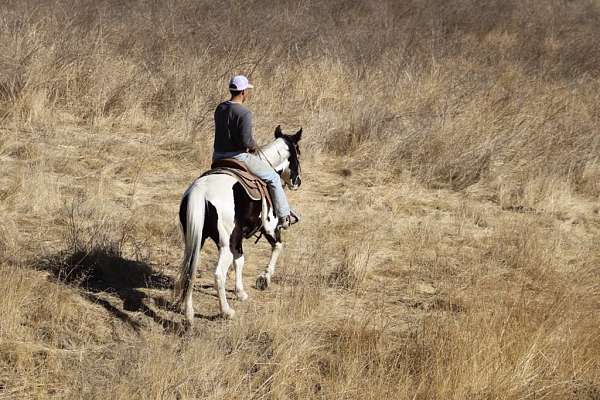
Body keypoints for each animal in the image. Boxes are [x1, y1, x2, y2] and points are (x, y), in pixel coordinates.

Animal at [173, 125, 304, 324]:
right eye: (298, 152)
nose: (298, 182)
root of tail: (200, 191)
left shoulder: (238, 238)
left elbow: (240, 260)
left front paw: (240, 292)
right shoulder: (270, 228)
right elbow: (277, 246)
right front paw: (264, 278)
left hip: (194, 240)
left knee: (190, 269)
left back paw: (188, 313)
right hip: (225, 244)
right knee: (218, 274)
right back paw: (226, 311)